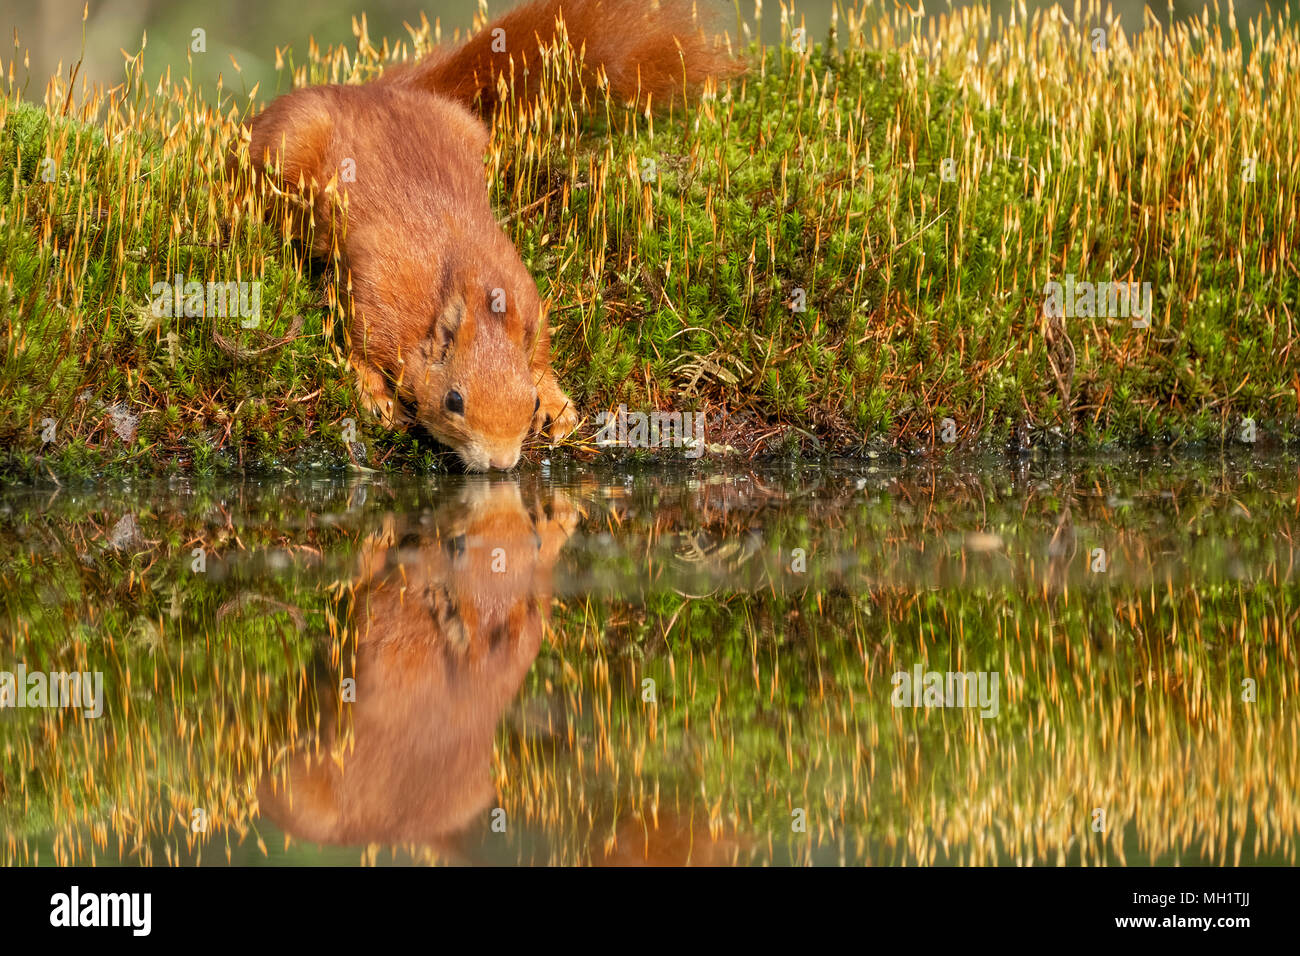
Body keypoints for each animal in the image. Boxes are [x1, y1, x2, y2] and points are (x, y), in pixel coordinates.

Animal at [236, 0, 738, 471]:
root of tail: (377, 91)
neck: (471, 283)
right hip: (285, 147)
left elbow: (539, 356)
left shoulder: (525, 298)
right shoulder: (378, 291)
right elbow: (354, 344)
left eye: (529, 403)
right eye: (454, 400)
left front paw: (557, 401)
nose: (500, 464)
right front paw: (375, 395)